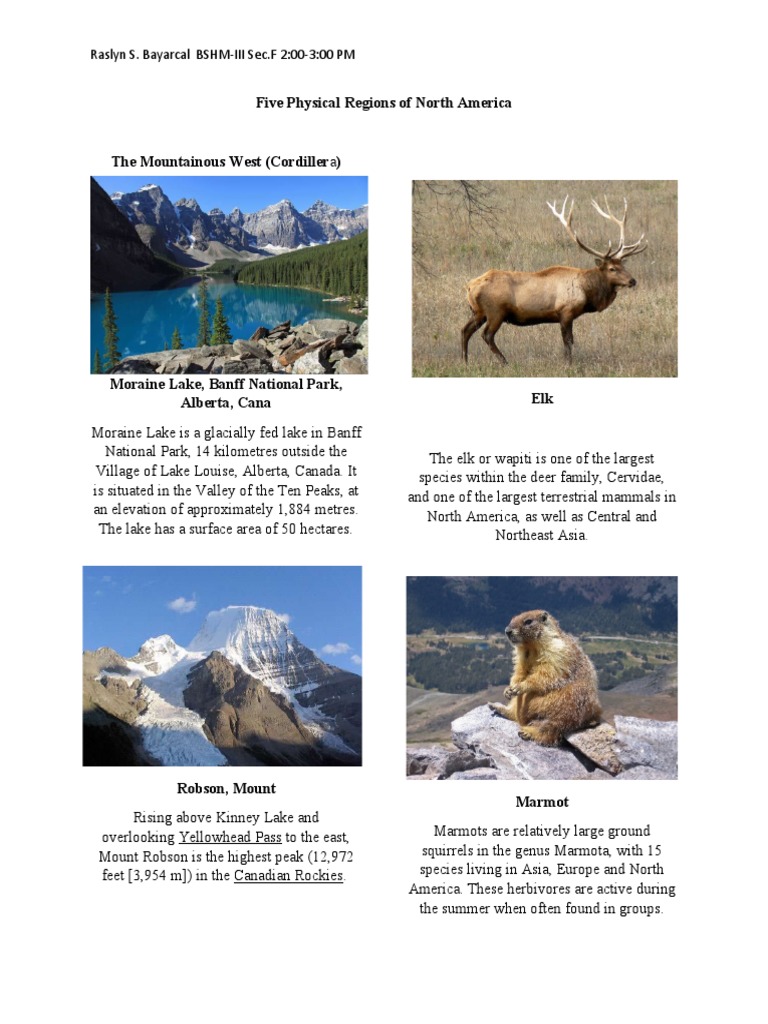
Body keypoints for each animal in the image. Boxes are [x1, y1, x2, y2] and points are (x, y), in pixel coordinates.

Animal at [461, 197, 647, 364]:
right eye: (612, 269)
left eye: (622, 265)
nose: (632, 281)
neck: (587, 292)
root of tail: (469, 286)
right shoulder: (566, 312)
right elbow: (568, 342)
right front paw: (568, 364)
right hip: (495, 312)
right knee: (486, 335)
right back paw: (504, 362)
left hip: (478, 312)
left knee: (465, 330)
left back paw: (465, 361)